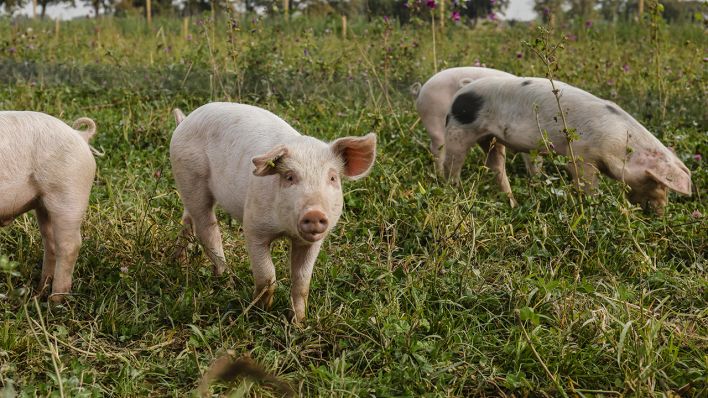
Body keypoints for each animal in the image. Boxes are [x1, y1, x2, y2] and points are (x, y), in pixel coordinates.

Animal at [0, 110, 97, 300]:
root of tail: (80, 136)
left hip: (69, 194)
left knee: (70, 246)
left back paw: (54, 301)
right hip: (43, 204)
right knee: (50, 242)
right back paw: (38, 293)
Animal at [170, 102, 376, 320]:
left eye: (333, 178)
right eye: (289, 177)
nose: (314, 214)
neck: (285, 230)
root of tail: (185, 121)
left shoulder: (312, 242)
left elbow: (302, 281)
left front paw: (299, 322)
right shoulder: (253, 226)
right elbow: (267, 275)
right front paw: (260, 311)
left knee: (188, 219)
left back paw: (179, 262)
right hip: (190, 175)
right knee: (207, 229)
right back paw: (226, 281)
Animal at [442, 77, 692, 215]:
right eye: (657, 182)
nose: (661, 214)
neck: (621, 145)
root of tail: (462, 90)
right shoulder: (583, 156)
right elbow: (586, 183)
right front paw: (593, 206)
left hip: (491, 139)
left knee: (497, 166)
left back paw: (513, 203)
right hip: (458, 131)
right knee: (452, 165)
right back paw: (453, 192)